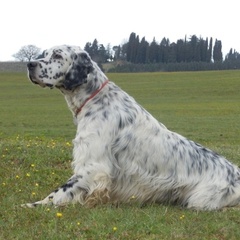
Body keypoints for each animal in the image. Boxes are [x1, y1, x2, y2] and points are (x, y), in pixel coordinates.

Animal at [23, 45, 240, 210]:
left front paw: (33, 205)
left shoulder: (93, 165)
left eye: (57, 55)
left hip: (200, 199)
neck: (95, 99)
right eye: (45, 53)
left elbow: (59, 192)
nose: (29, 64)